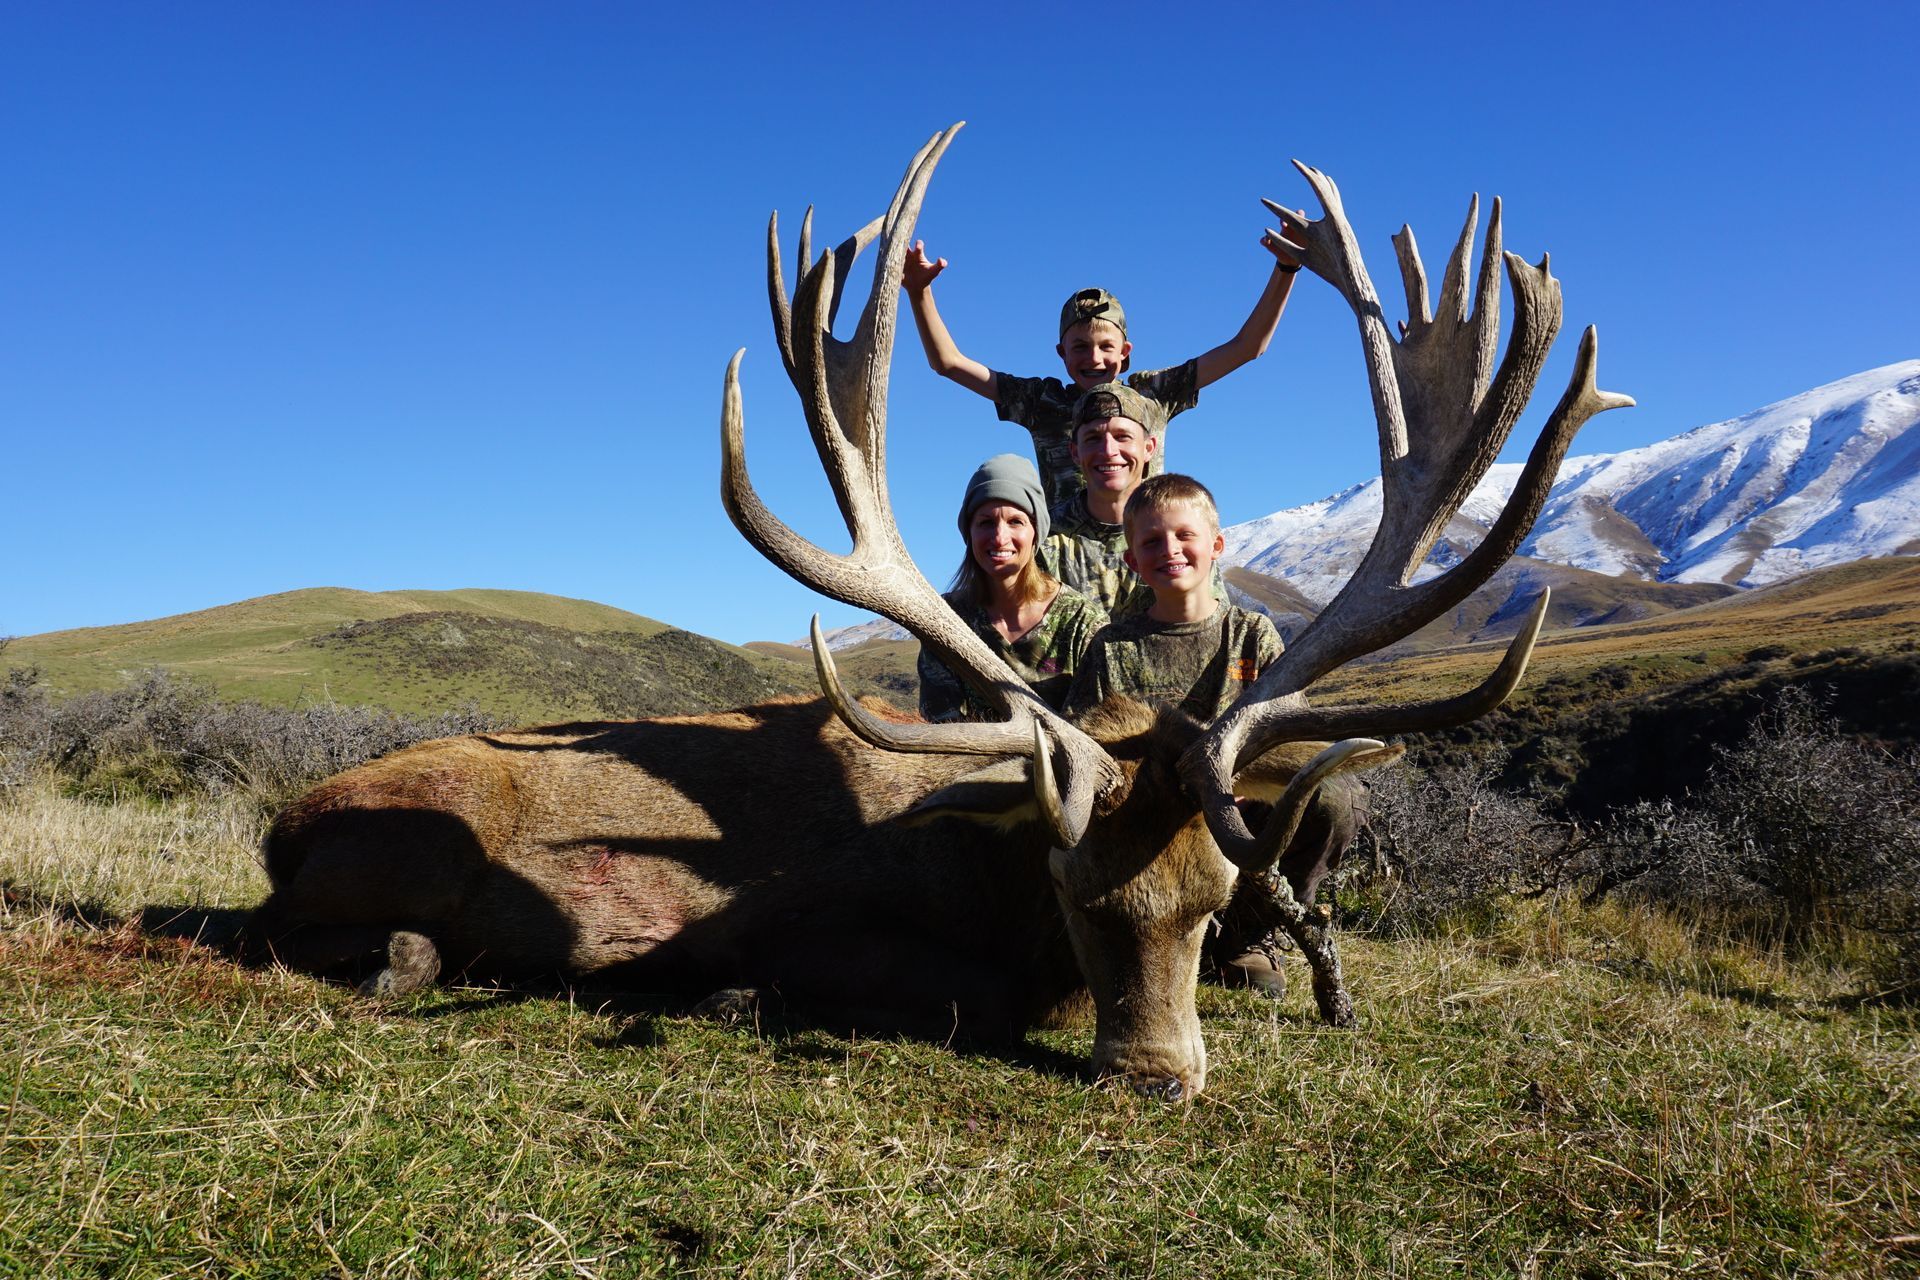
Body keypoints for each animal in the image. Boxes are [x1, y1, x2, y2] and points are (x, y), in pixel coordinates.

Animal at [245, 124, 1630, 1100]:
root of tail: (279, 823)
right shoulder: (817, 925)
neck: (994, 872)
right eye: (1077, 897)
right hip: (410, 848)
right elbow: (941, 993)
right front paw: (731, 999)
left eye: (1205, 898)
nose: (1155, 1074)